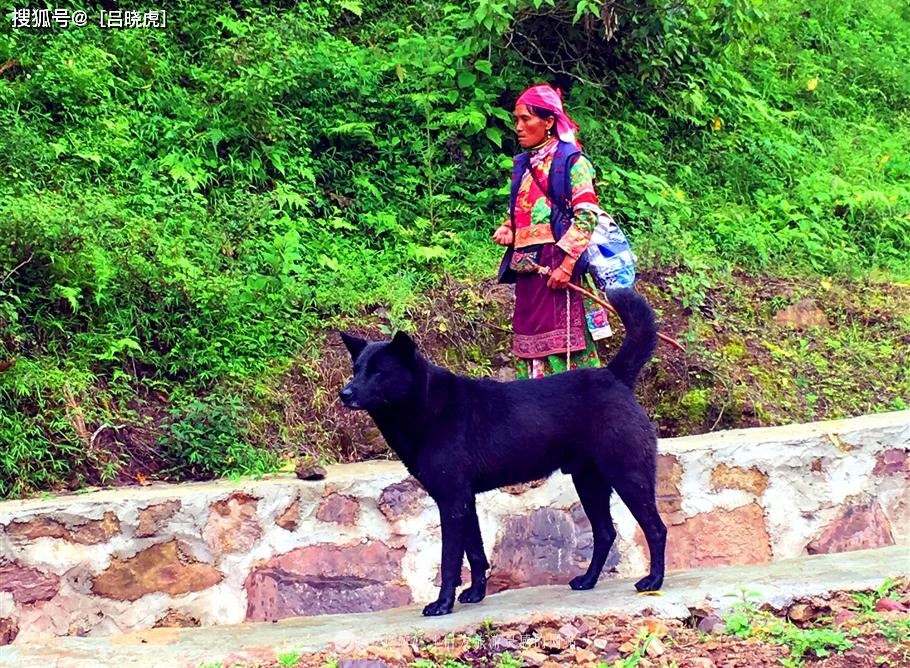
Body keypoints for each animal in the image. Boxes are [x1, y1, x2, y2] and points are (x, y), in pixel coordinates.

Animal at [338, 288, 668, 616]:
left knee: (656, 529)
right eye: (356, 370)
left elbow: (450, 560)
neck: (428, 405)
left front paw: (442, 604)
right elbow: (475, 553)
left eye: (378, 372)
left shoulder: (451, 500)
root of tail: (614, 377)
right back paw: (587, 580)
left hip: (628, 476)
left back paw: (653, 581)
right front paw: (475, 594)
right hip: (588, 481)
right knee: (605, 532)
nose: (345, 393)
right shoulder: (464, 499)